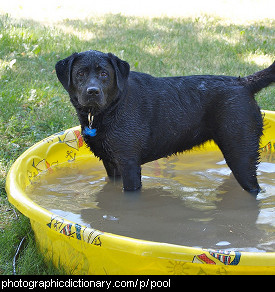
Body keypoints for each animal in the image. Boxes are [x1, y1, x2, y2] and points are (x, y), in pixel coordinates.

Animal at [55, 50, 274, 194]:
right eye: (80, 73)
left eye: (104, 74)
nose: (92, 91)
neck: (110, 109)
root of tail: (243, 82)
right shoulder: (110, 163)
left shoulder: (129, 164)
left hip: (241, 154)